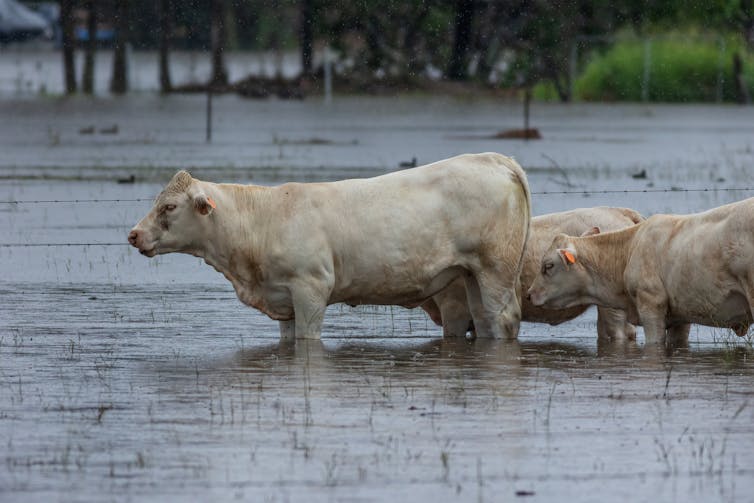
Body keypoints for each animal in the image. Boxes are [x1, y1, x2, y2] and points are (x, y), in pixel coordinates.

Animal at [128, 152, 532, 341]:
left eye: (169, 207)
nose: (133, 234)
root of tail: (494, 159)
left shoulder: (311, 289)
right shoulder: (284, 301)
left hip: (495, 269)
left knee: (504, 318)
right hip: (470, 275)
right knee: (484, 319)